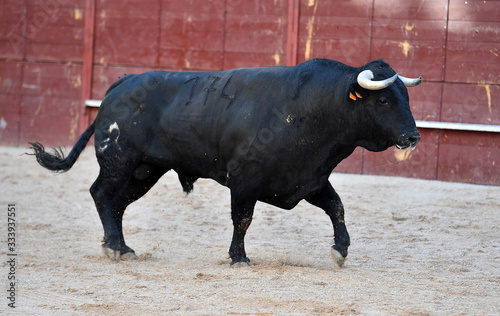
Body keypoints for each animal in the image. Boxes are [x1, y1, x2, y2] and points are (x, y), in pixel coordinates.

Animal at [30, 58, 422, 266]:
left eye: (405, 97)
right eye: (383, 101)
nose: (413, 136)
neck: (310, 109)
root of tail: (121, 83)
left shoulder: (308, 178)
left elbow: (336, 207)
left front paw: (340, 250)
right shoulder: (245, 181)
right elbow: (243, 219)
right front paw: (239, 257)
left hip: (145, 171)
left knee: (117, 203)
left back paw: (122, 247)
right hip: (119, 160)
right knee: (101, 194)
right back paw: (113, 246)